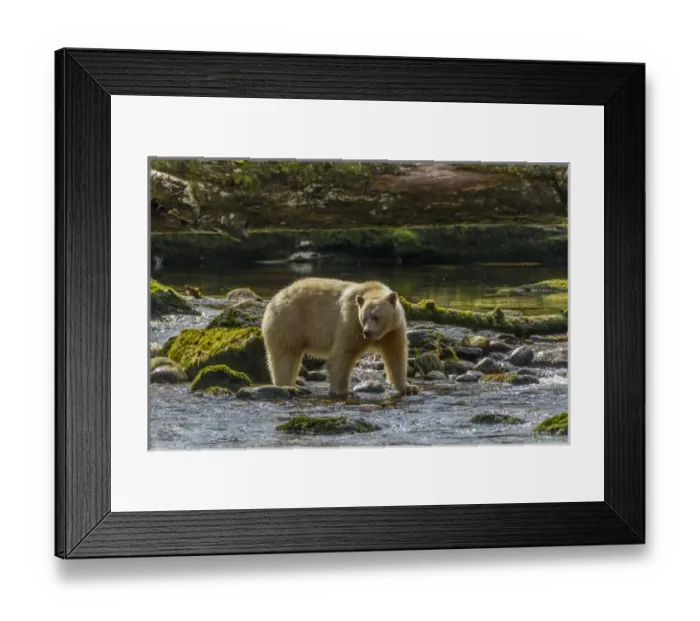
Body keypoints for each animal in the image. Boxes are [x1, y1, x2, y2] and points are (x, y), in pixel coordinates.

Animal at [261, 277, 417, 397]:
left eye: (376, 317)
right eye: (364, 318)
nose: (367, 332)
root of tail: (275, 297)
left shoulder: (393, 330)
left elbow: (396, 355)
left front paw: (408, 387)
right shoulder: (350, 322)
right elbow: (342, 355)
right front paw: (343, 391)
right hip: (289, 321)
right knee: (285, 355)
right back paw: (289, 386)